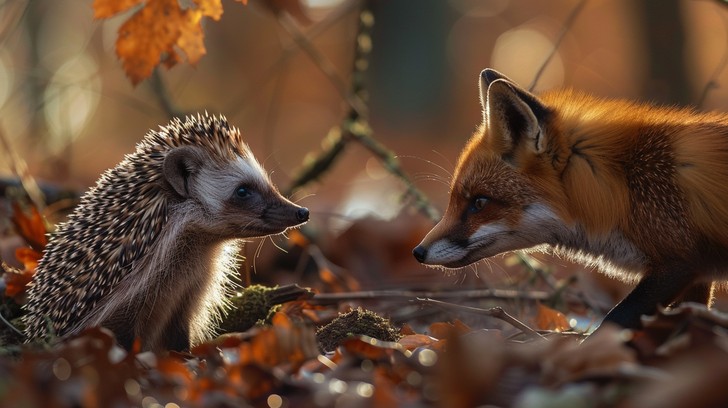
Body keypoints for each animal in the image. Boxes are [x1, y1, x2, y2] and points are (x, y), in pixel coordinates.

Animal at [413, 68, 728, 330]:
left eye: (479, 202)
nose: (418, 252)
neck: (624, 188)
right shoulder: (699, 276)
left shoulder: (679, 263)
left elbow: (614, 319)